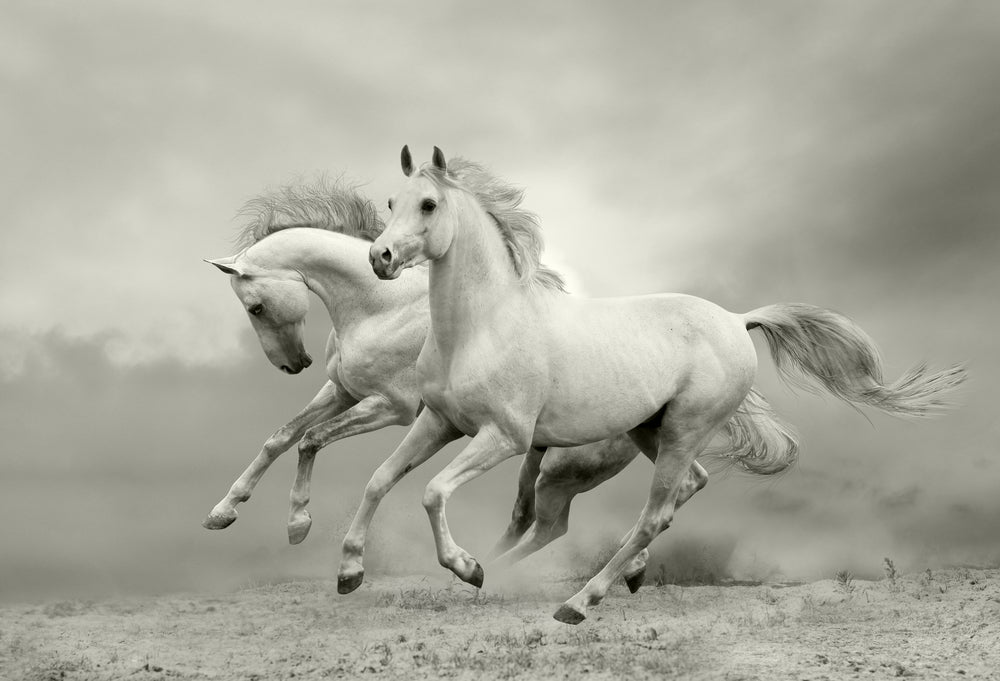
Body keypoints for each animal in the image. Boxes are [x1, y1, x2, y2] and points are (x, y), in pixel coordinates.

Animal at [362, 146, 968, 624]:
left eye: (428, 204)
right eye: (391, 203)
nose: (379, 257)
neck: (481, 325)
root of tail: (737, 320)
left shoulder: (503, 437)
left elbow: (432, 490)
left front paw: (467, 568)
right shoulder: (440, 422)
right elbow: (379, 481)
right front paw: (350, 571)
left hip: (680, 431)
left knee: (649, 514)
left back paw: (579, 602)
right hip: (651, 431)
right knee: (684, 488)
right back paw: (595, 575)